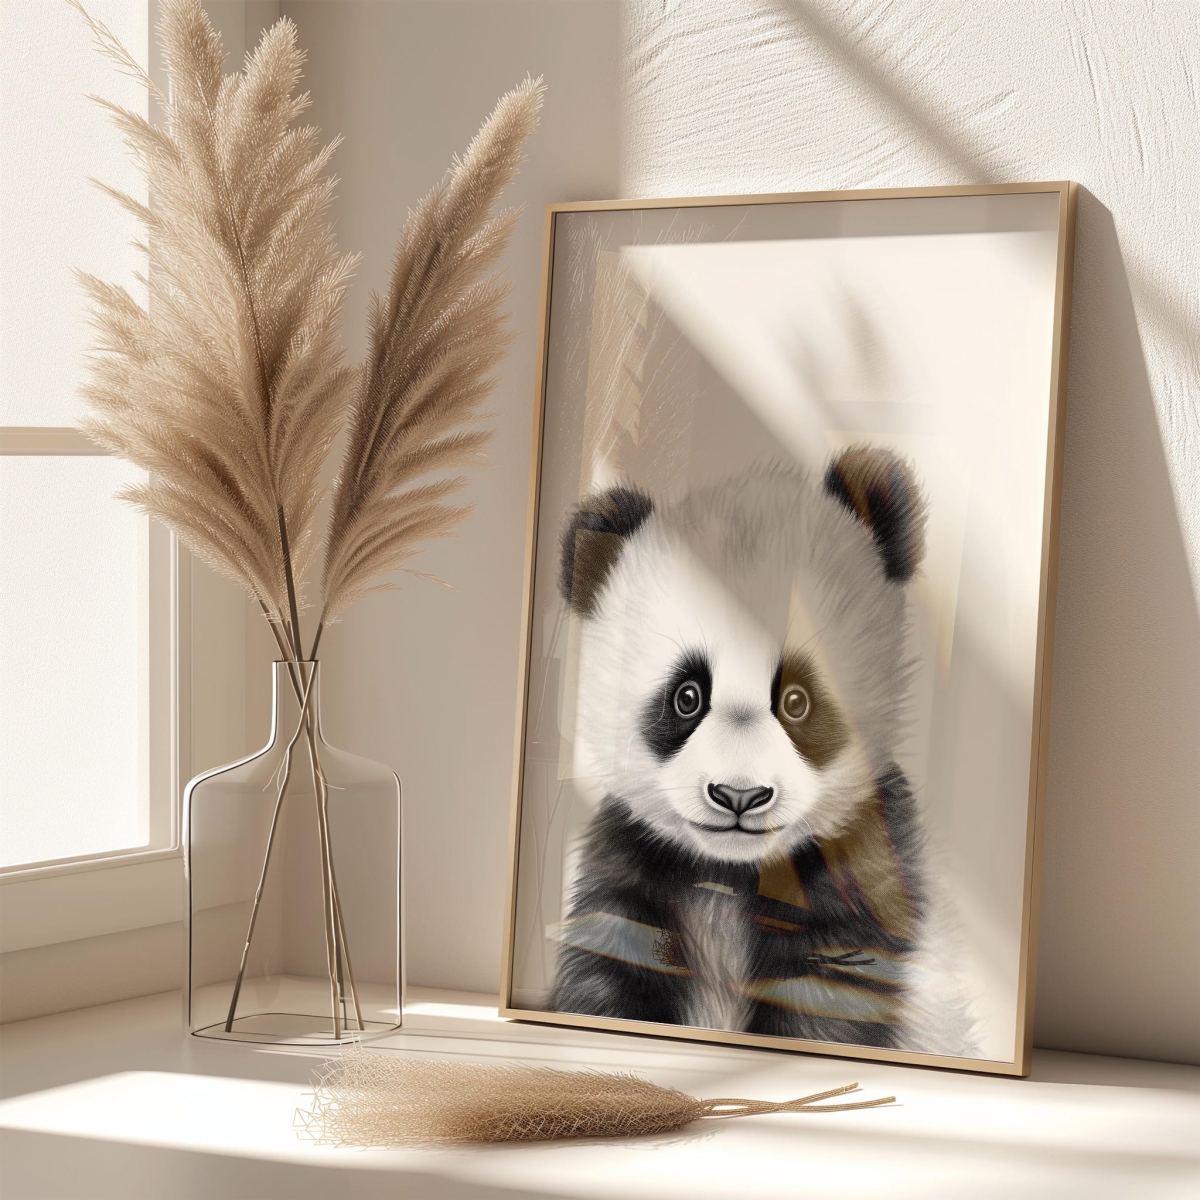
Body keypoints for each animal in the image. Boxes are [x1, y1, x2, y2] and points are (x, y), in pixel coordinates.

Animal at [548, 446, 978, 1058]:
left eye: (797, 699)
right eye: (686, 696)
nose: (739, 795)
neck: (733, 876)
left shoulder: (863, 876)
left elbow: (830, 1004)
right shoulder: (630, 870)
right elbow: (608, 976)